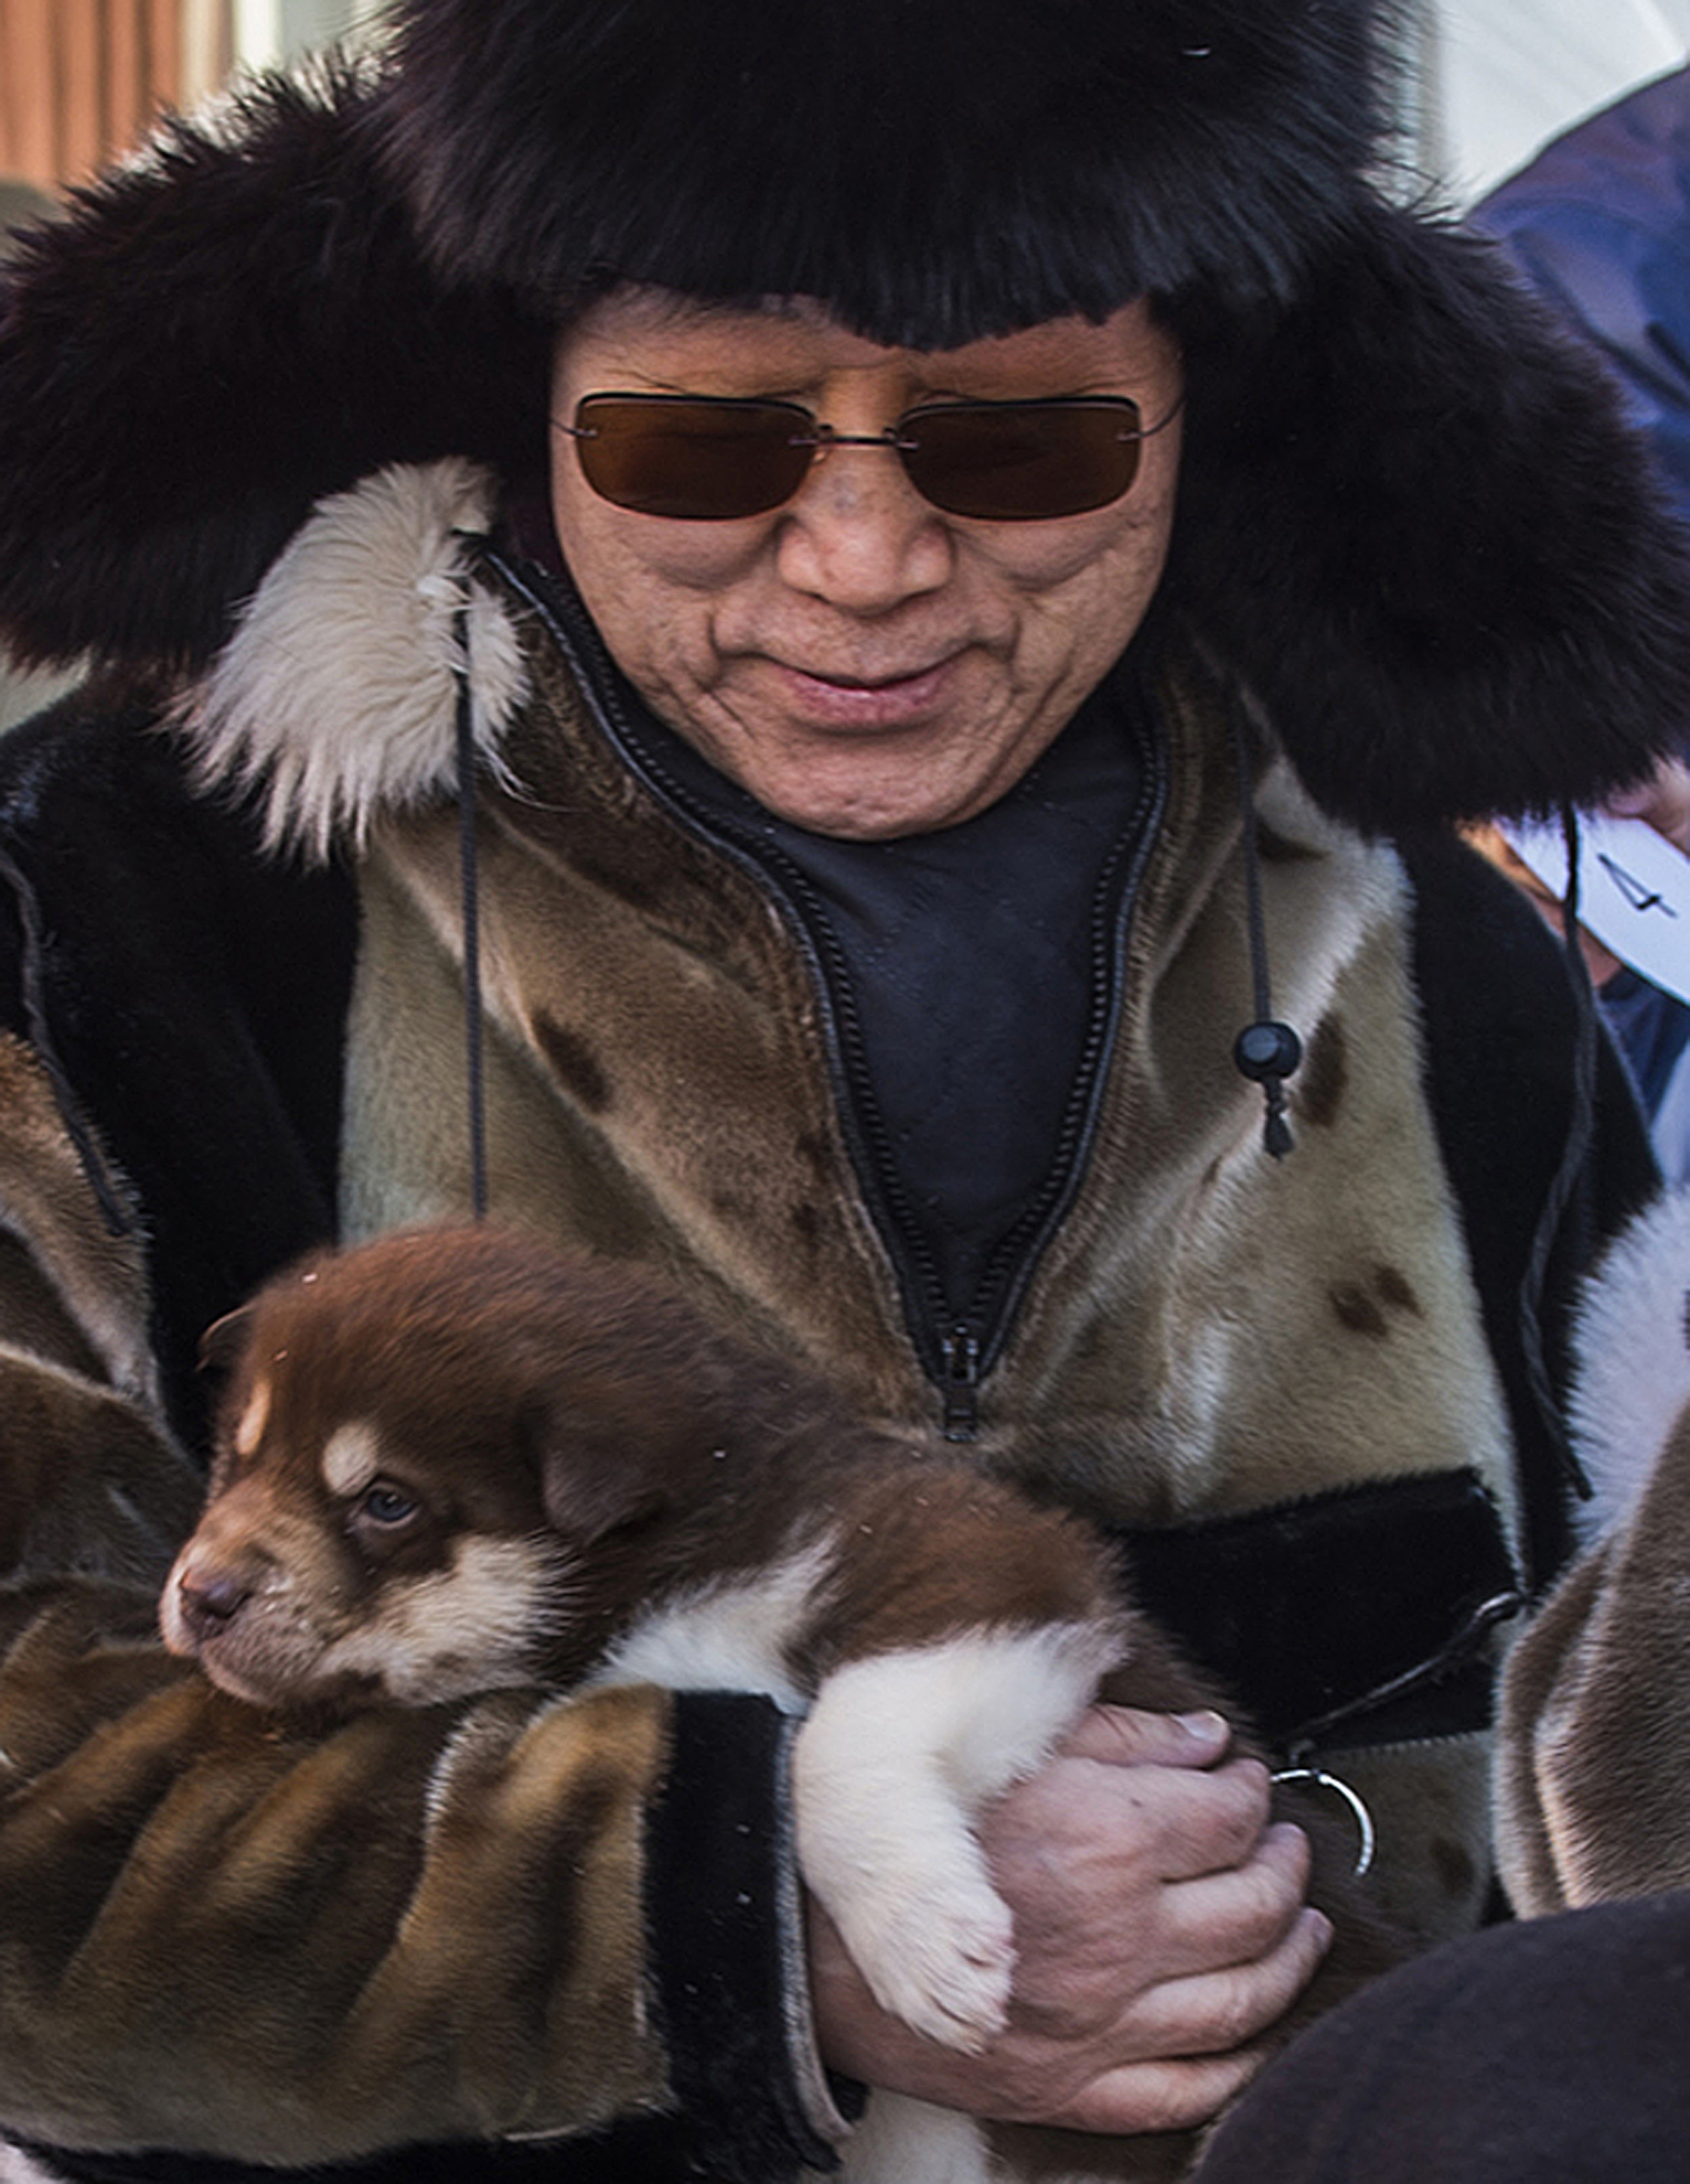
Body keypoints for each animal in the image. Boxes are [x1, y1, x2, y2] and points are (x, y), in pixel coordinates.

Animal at [159, 1232, 1406, 2184]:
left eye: (385, 1501)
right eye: (235, 1461)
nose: (199, 1594)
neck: (664, 1563)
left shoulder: (989, 1567)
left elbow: (841, 1736)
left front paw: (930, 1943)